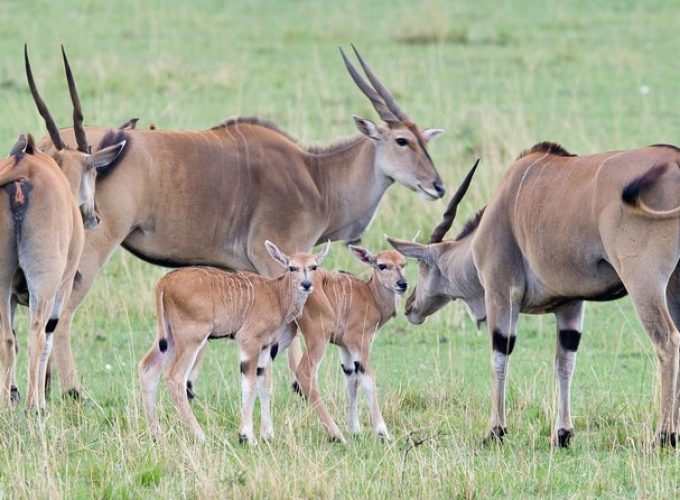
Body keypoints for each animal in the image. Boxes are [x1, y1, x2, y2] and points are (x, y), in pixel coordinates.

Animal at [0, 134, 84, 410]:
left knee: (7, 339)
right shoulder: (61, 289)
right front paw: (40, 402)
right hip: (44, 284)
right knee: (36, 335)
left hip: (2, 284)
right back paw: (32, 406)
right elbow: (48, 338)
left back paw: (7, 404)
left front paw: (12, 393)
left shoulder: (12, 297)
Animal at [30, 46, 446, 398]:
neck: (315, 177)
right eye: (402, 141)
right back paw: (72, 390)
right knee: (60, 315)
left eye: (425, 141)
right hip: (90, 250)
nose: (438, 185)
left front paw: (193, 387)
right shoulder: (277, 260)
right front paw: (297, 387)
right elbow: (291, 326)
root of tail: (51, 148)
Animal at [294, 245, 410, 442]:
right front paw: (383, 433)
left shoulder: (345, 348)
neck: (369, 295)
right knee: (305, 373)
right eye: (382, 265)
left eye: (403, 264)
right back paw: (335, 434)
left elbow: (351, 383)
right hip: (318, 337)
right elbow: (368, 380)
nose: (402, 284)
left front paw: (355, 430)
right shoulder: (358, 342)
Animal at [390, 146, 680, 450]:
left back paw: (664, 436)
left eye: (423, 266)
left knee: (667, 341)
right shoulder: (570, 305)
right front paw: (562, 434)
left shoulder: (501, 293)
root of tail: (672, 159)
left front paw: (495, 431)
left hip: (643, 283)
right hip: (673, 286)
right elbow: (565, 363)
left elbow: (499, 356)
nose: (410, 306)